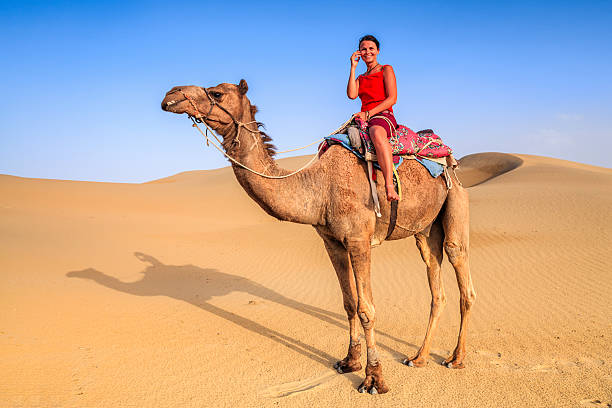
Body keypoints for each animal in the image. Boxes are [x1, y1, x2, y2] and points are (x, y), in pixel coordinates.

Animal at [160, 80, 476, 396]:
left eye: (216, 93)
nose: (170, 95)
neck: (319, 187)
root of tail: (450, 159)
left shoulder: (359, 240)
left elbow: (366, 309)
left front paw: (374, 379)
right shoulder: (332, 241)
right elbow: (349, 303)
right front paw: (349, 361)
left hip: (456, 200)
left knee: (459, 267)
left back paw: (456, 358)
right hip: (424, 229)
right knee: (435, 280)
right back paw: (419, 357)